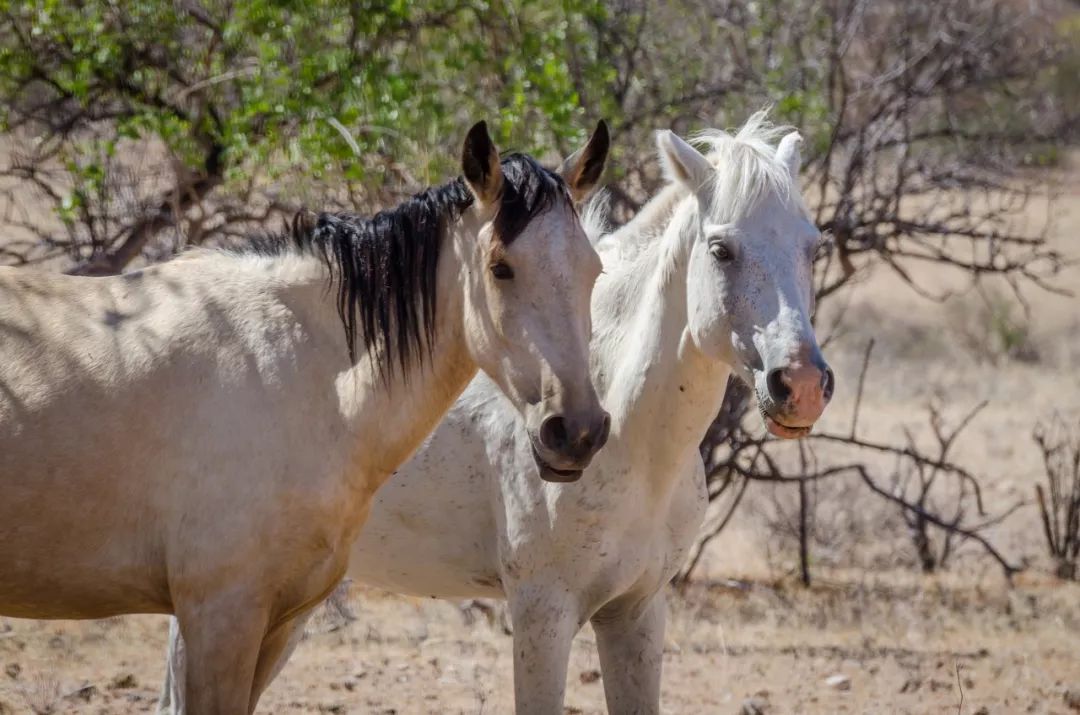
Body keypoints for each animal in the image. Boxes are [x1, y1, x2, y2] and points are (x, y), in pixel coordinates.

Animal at [0, 120, 613, 712]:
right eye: (501, 268)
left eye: (594, 271)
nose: (578, 432)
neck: (301, 374)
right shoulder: (220, 616)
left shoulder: (277, 622)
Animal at [162, 115, 833, 712]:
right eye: (721, 249)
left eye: (813, 247)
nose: (801, 385)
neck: (634, 439)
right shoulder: (542, 612)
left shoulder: (637, 613)